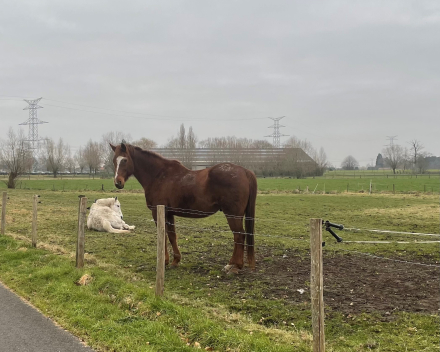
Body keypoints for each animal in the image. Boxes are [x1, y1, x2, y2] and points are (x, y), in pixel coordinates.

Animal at [110, 142, 258, 274]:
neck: (159, 175)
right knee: (238, 236)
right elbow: (172, 236)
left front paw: (164, 261)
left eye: (124, 160)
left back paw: (236, 266)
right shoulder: (169, 213)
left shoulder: (157, 212)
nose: (118, 183)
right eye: (114, 160)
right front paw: (175, 261)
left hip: (233, 214)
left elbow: (163, 235)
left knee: (239, 236)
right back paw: (231, 264)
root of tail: (245, 171)